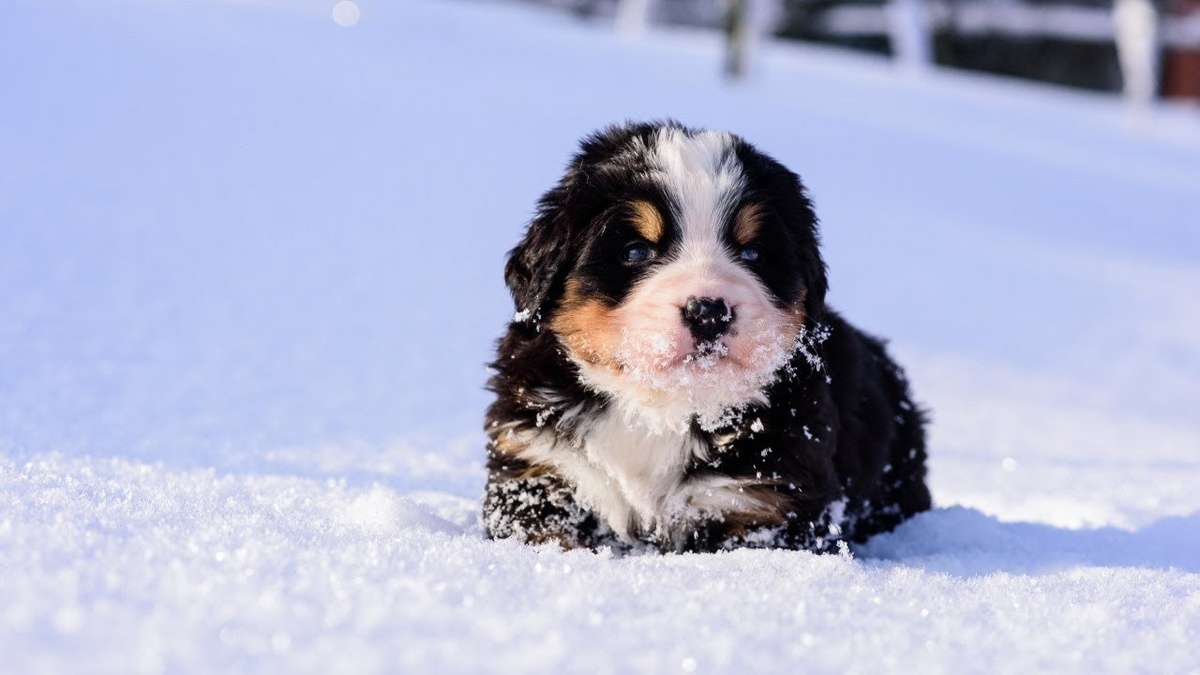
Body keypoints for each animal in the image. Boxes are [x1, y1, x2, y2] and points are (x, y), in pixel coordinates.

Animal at [482, 120, 931, 552]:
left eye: (753, 253)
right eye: (635, 251)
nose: (709, 312)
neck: (660, 413)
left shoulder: (764, 500)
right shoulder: (537, 467)